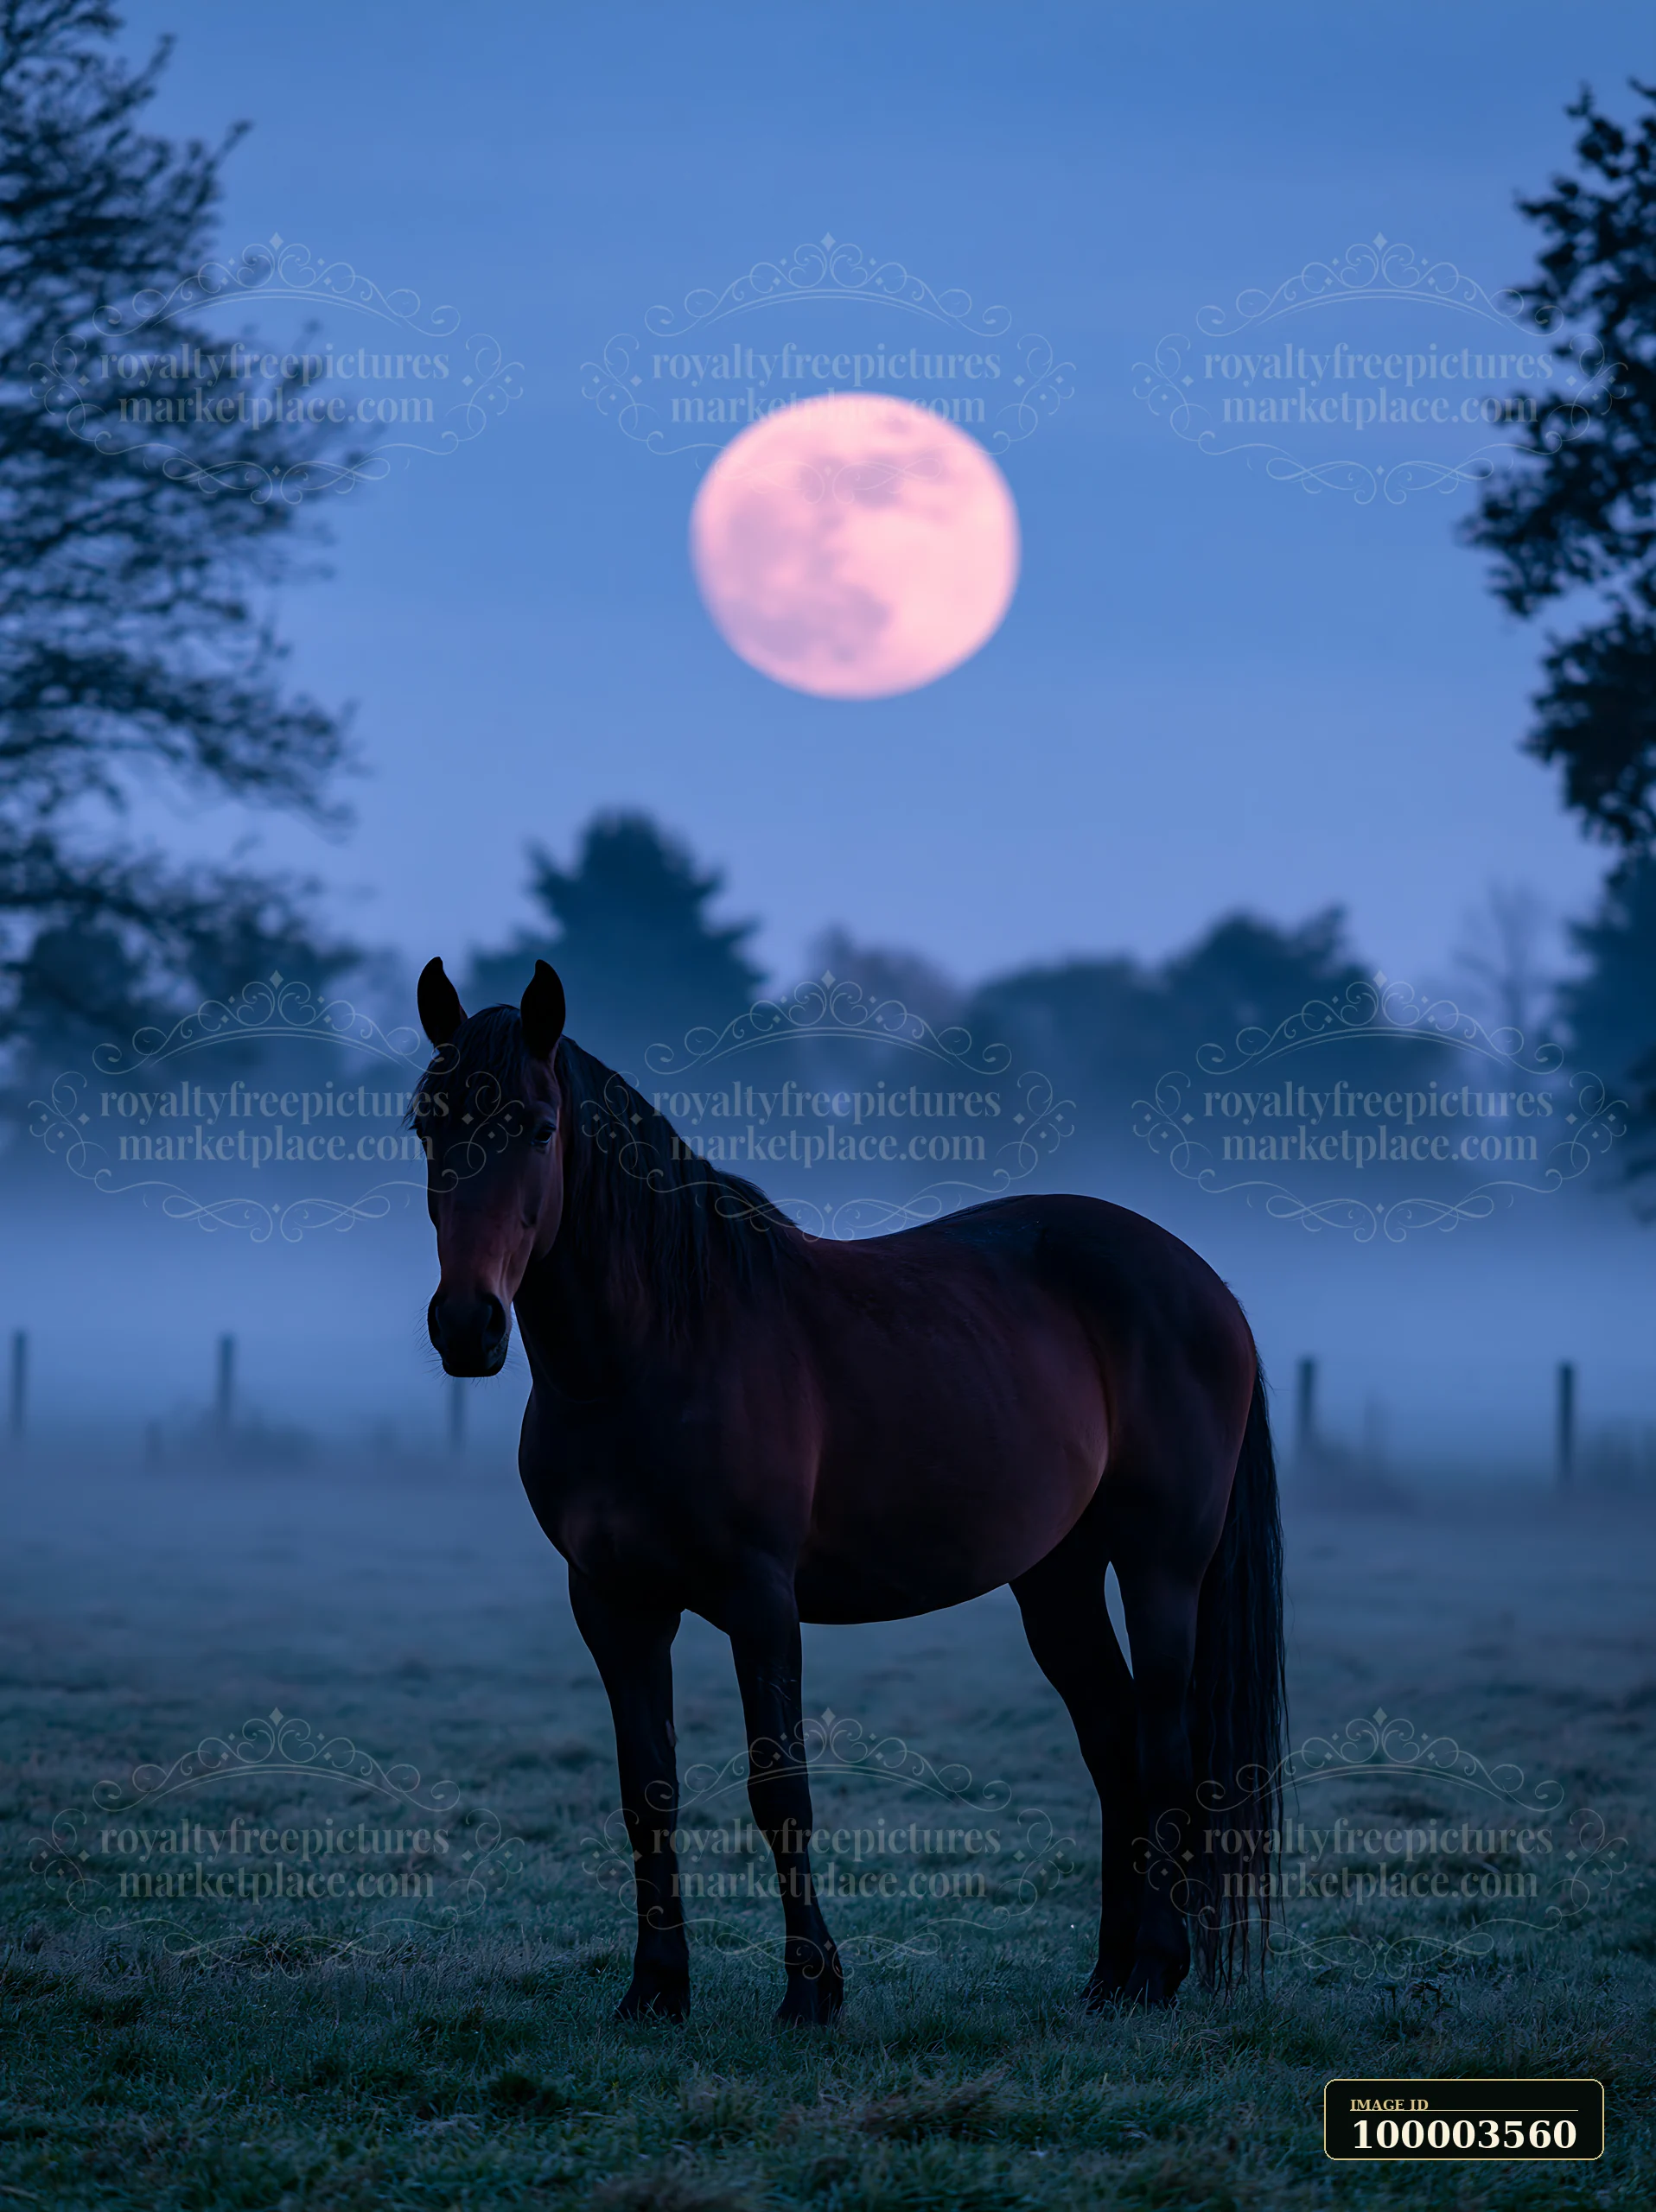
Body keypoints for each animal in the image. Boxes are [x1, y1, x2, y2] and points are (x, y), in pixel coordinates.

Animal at [412, 955, 1284, 2025]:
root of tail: (1203, 1283)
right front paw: (655, 1988)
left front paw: (810, 1990)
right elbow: (645, 1792)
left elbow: (778, 1788)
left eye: (538, 1126)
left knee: (1162, 1747)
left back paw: (1156, 1967)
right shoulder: (612, 1604)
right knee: (1113, 1745)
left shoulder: (759, 1596)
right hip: (1057, 1575)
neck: (651, 1354)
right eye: (426, 1124)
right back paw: (1108, 1974)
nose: (466, 1326)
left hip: (1161, 1562)